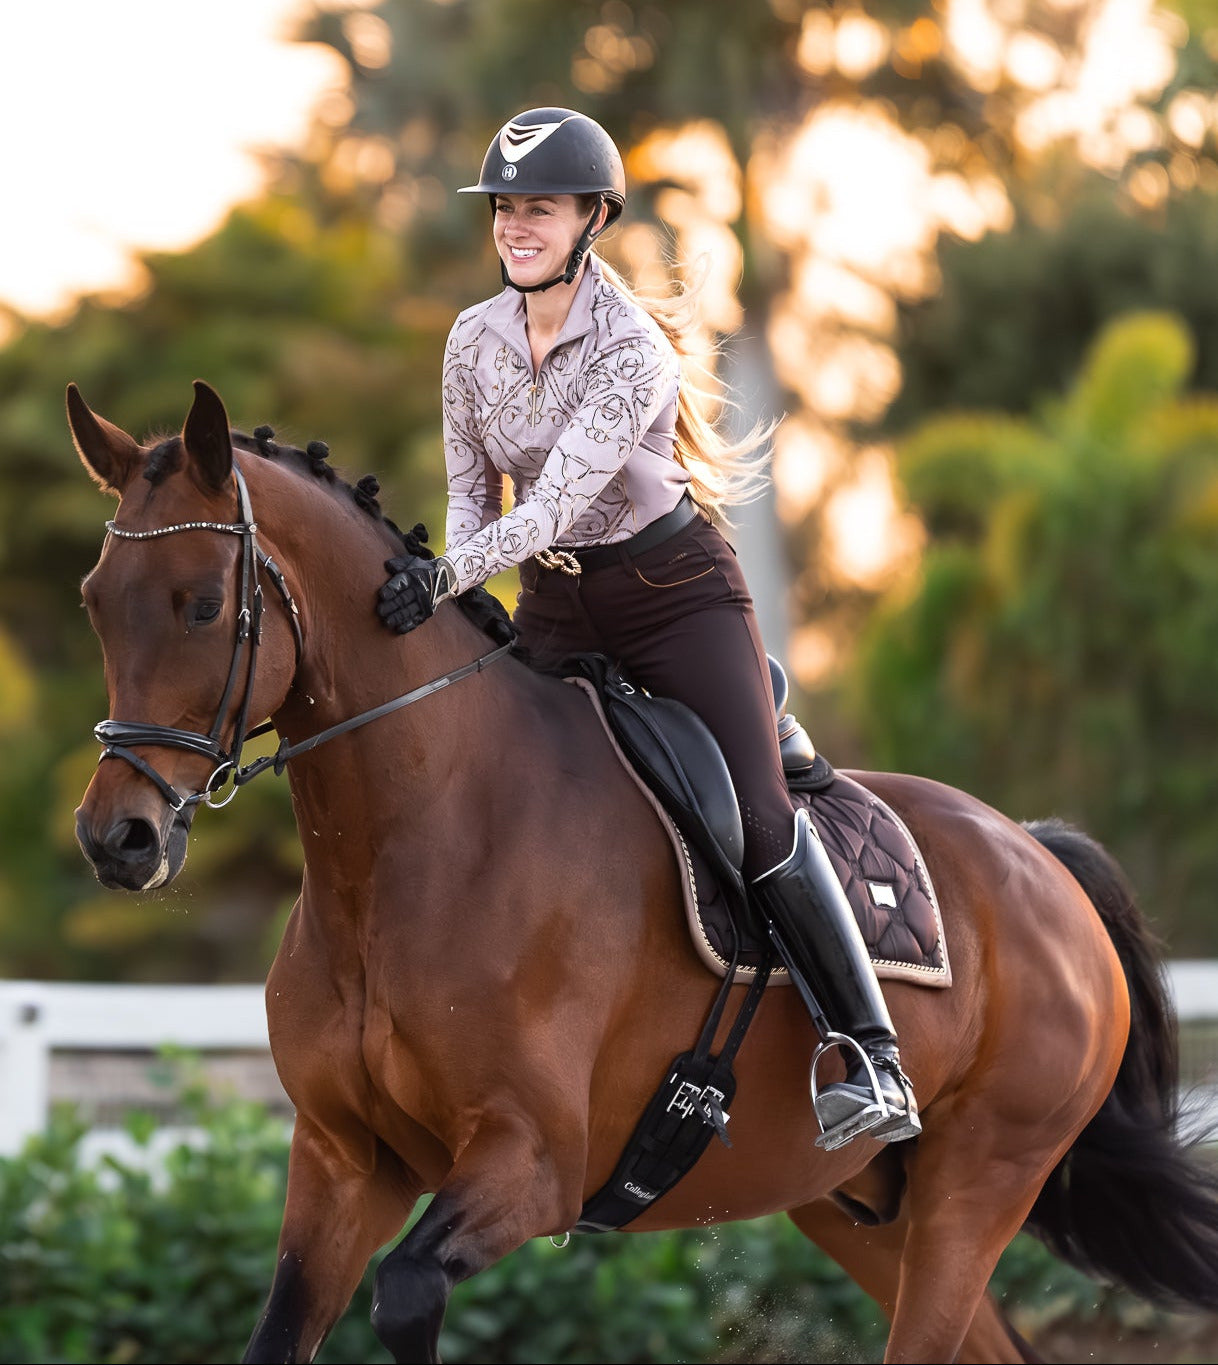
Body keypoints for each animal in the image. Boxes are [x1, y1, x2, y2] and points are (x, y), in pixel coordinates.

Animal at [68, 380, 1218, 1364]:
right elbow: (280, 1332)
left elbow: (407, 1293)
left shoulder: (532, 1164)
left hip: (976, 1189)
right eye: (94, 601)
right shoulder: (342, 1165)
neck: (412, 851)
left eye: (202, 604)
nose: (117, 837)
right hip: (858, 1207)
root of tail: (1036, 854)